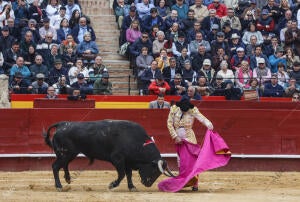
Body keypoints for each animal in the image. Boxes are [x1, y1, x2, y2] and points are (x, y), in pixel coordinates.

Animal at [42, 120, 173, 191]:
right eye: (154, 170)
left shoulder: (128, 161)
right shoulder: (117, 159)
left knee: (64, 165)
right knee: (55, 166)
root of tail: (61, 124)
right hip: (65, 153)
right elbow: (122, 174)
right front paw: (112, 185)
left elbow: (129, 174)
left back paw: (68, 179)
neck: (137, 141)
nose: (148, 184)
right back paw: (59, 186)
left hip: (68, 154)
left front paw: (132, 187)